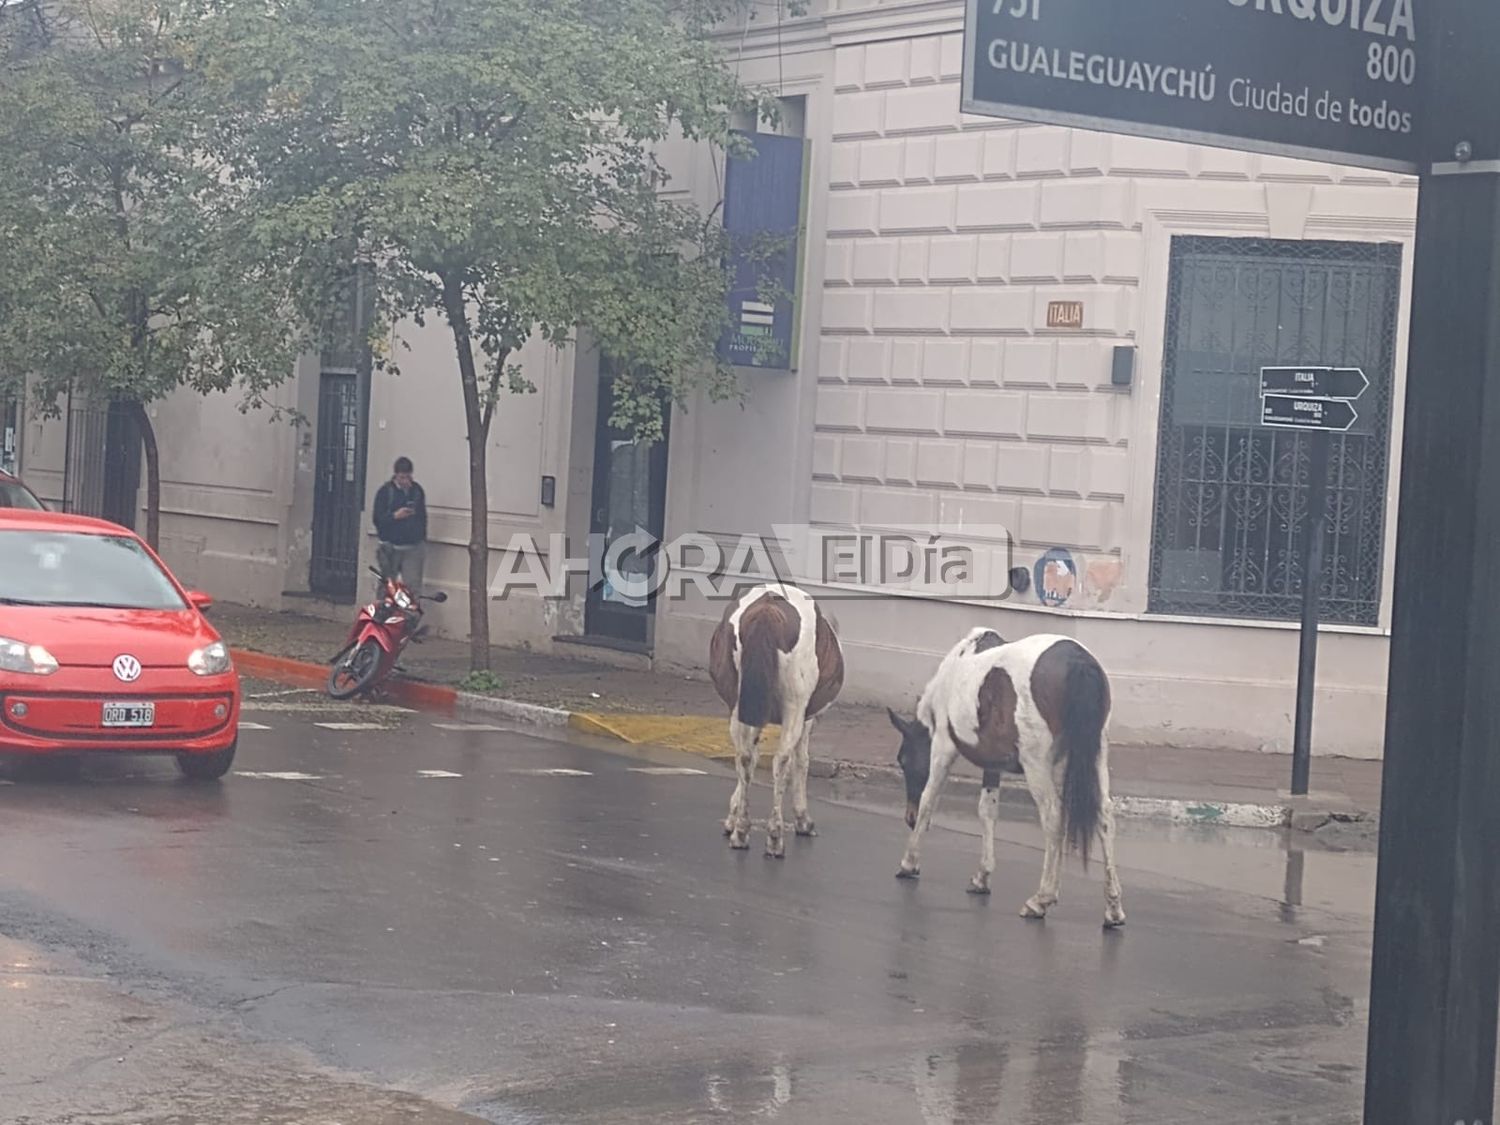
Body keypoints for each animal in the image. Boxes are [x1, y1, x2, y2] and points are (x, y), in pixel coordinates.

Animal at [705, 585, 846, 858]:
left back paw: (741, 832)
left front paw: (733, 818)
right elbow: (801, 762)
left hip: (739, 704)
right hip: (794, 708)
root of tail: (767, 609)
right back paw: (774, 837)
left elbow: (750, 759)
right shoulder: (805, 719)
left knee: (744, 757)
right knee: (782, 762)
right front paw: (803, 820)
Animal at [882, 630, 1122, 930]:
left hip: (1036, 765)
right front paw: (982, 877)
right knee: (1105, 817)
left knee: (1053, 817)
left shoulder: (943, 747)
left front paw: (909, 862)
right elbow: (987, 810)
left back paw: (1041, 900)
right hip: (1096, 757)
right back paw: (1113, 909)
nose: (909, 818)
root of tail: (1077, 661)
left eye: (903, 760)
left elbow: (929, 798)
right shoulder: (992, 764)